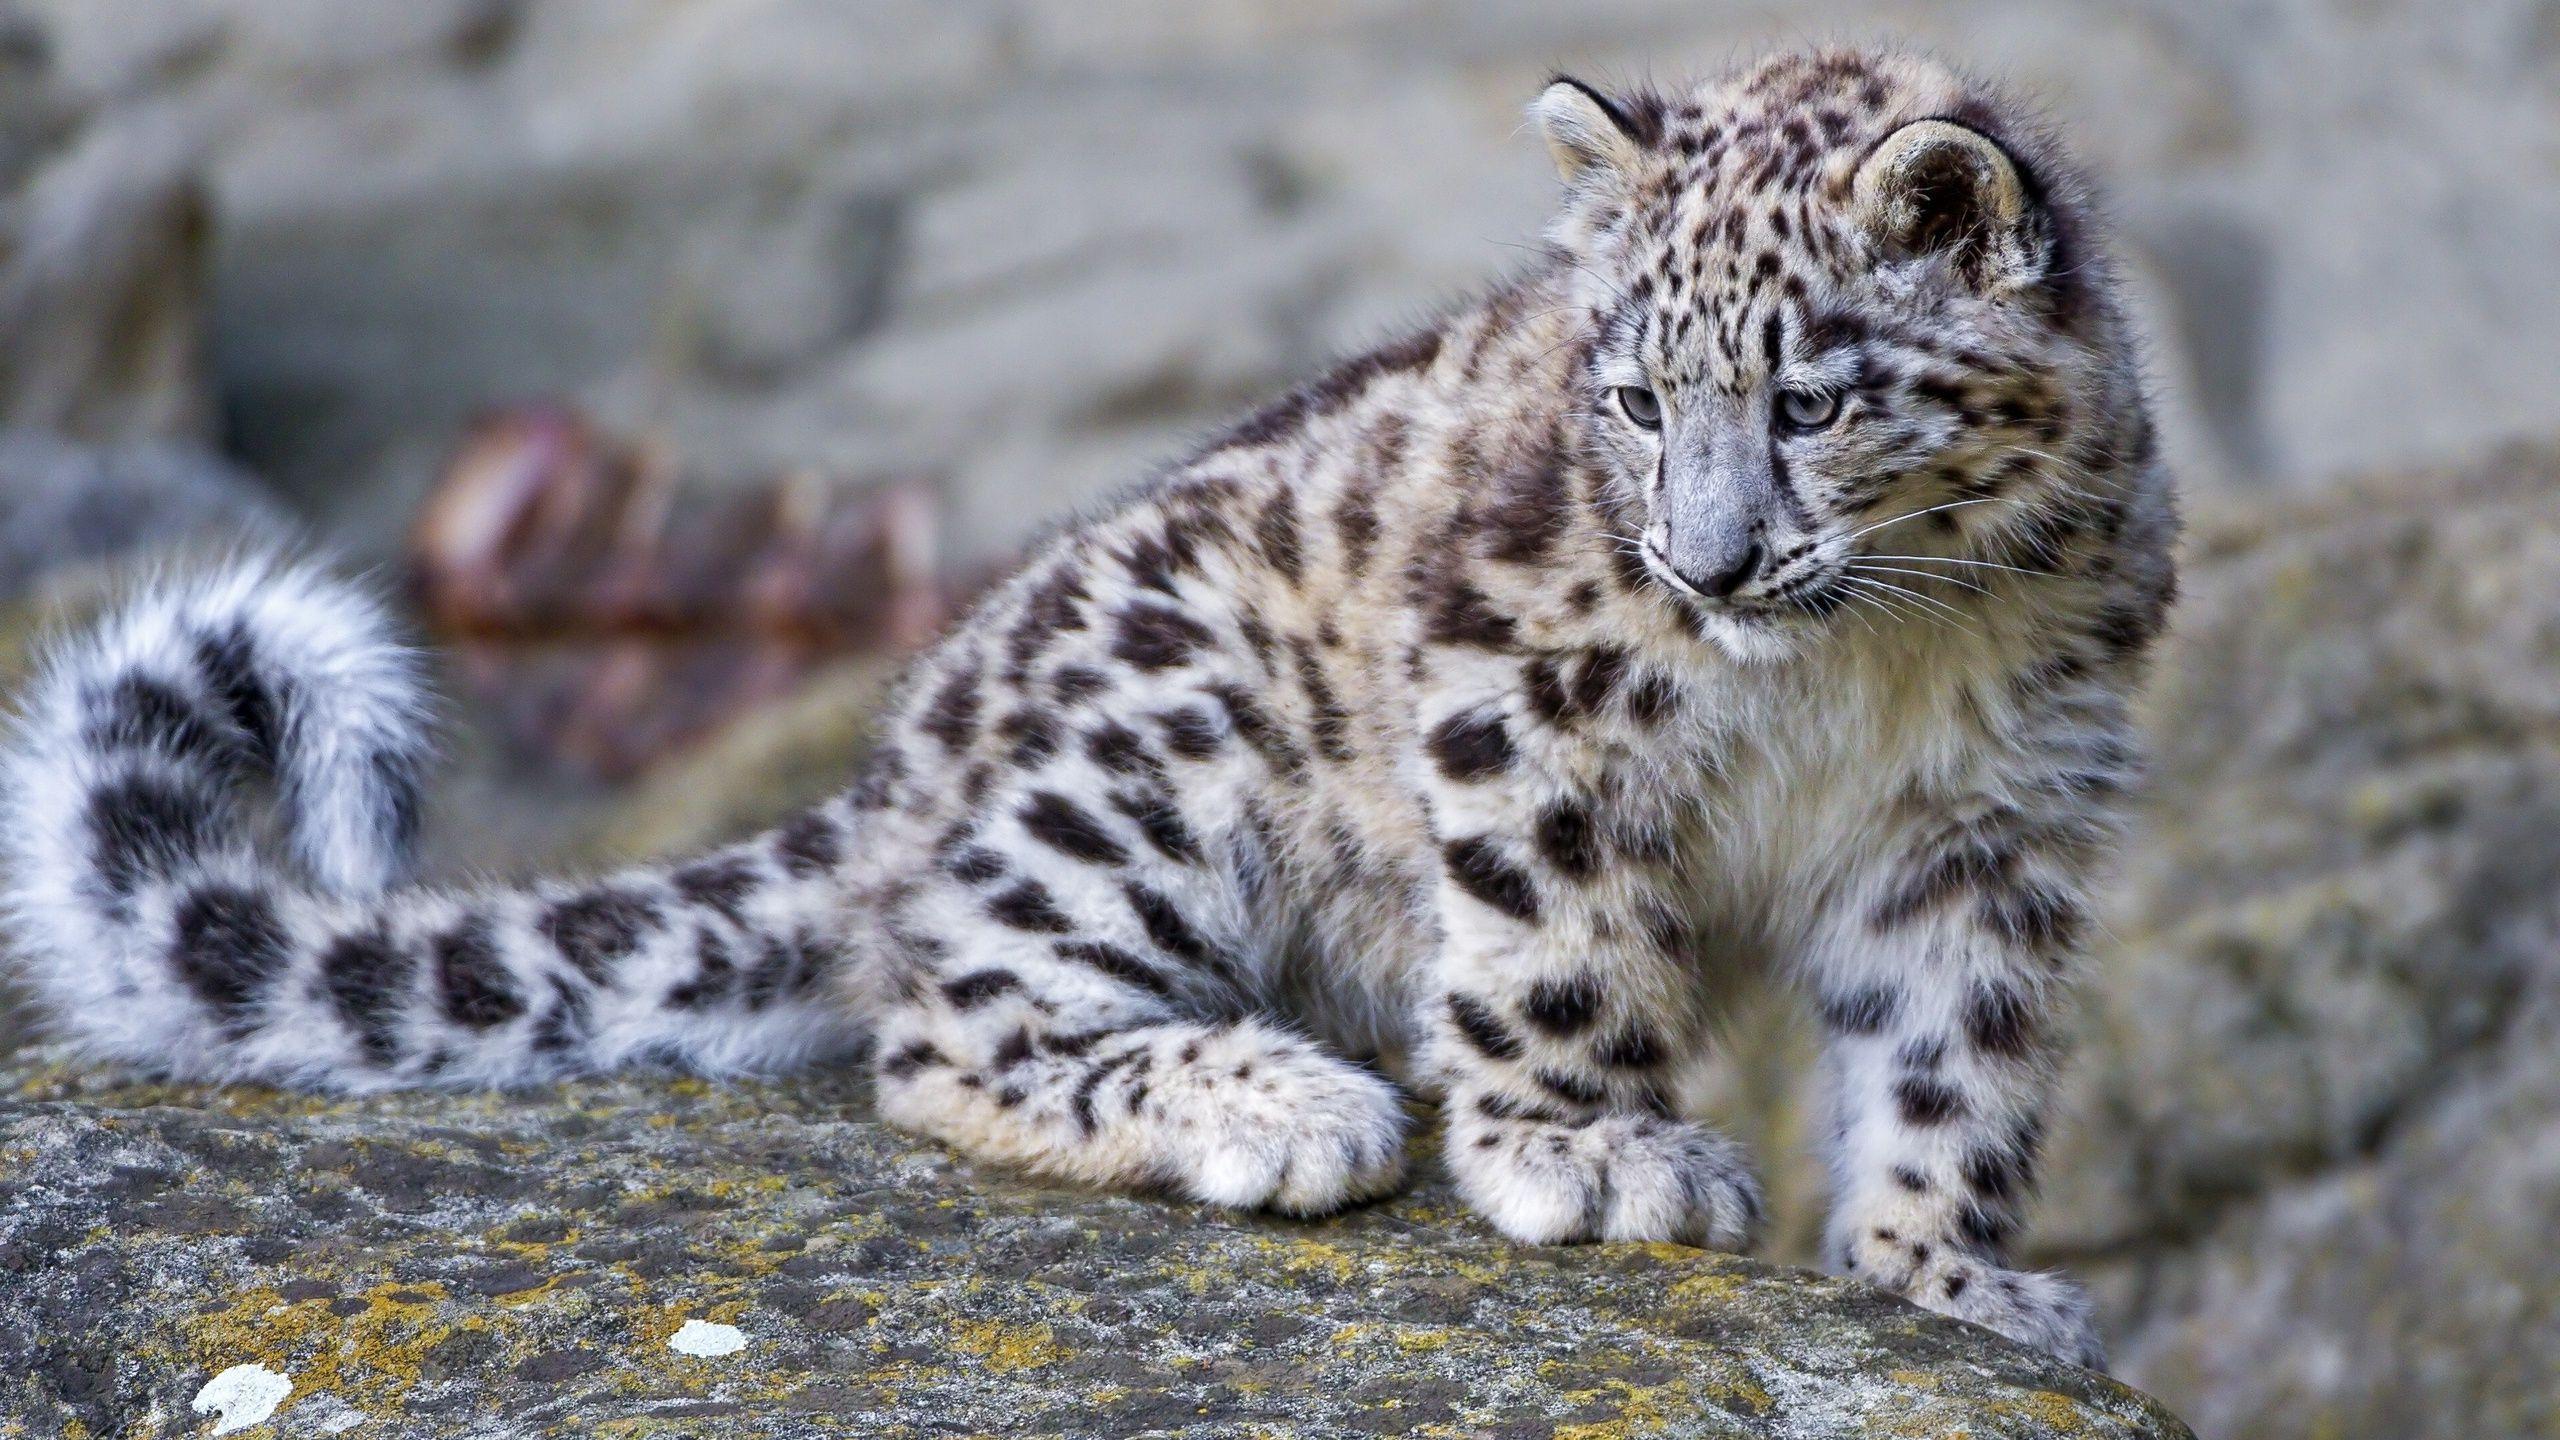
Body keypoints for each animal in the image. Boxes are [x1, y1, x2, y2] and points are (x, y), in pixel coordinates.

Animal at [0, 47, 2174, 1368]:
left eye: (1807, 398)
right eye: (1636, 396)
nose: (1705, 566)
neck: (1865, 662)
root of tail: (894, 767)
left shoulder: (1993, 826)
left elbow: (1952, 1062)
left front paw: (1950, 1278)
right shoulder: (1521, 691)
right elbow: (1555, 943)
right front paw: (1591, 1150)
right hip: (1154, 753)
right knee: (947, 1031)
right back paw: (1283, 1101)